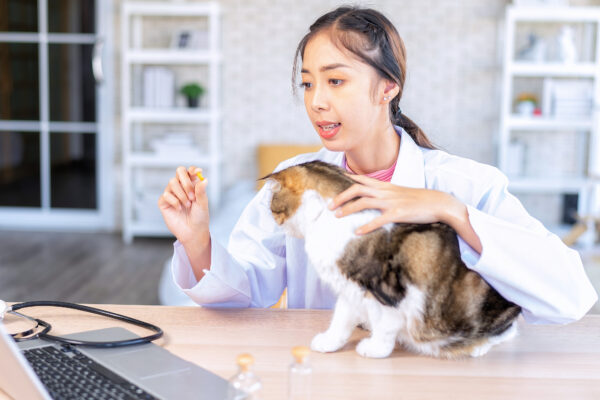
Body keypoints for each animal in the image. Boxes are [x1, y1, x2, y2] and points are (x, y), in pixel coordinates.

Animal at [264, 160, 524, 360]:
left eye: (272, 207)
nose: (273, 221)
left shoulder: (388, 291)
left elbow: (385, 325)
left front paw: (375, 349)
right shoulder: (350, 289)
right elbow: (341, 319)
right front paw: (329, 342)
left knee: (505, 332)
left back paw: (476, 347)